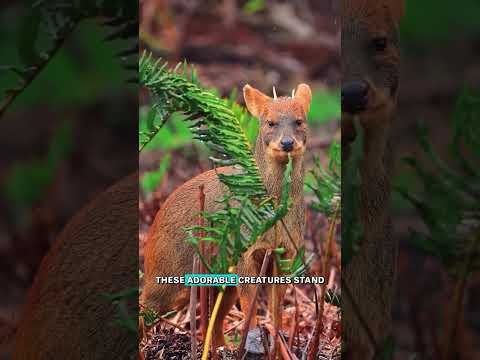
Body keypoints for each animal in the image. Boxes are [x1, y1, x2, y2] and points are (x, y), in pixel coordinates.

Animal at [142, 83, 316, 348]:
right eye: (270, 122)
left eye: (299, 121)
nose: (287, 143)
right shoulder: (245, 252)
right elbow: (250, 308)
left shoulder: (286, 252)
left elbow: (276, 308)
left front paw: (278, 344)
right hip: (168, 279)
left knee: (212, 322)